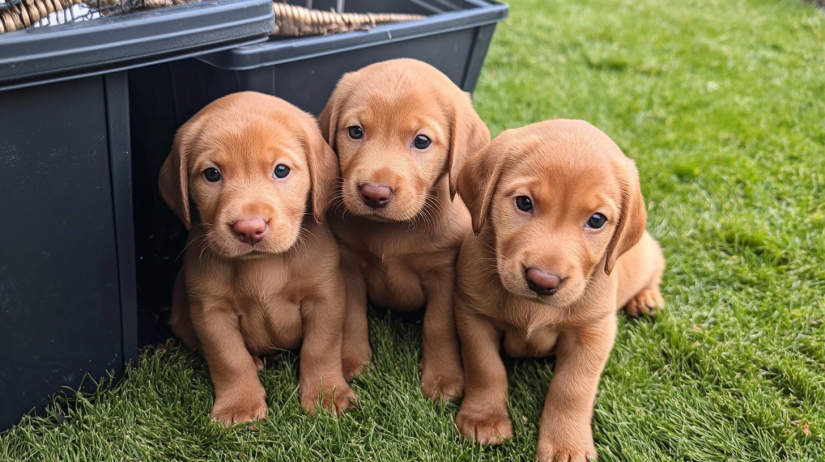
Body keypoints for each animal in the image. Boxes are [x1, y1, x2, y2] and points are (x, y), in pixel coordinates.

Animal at [159, 92, 356, 428]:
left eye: (281, 170)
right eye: (212, 174)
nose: (249, 228)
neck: (263, 266)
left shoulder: (326, 298)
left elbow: (320, 348)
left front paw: (327, 394)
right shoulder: (211, 312)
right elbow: (229, 358)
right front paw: (239, 405)